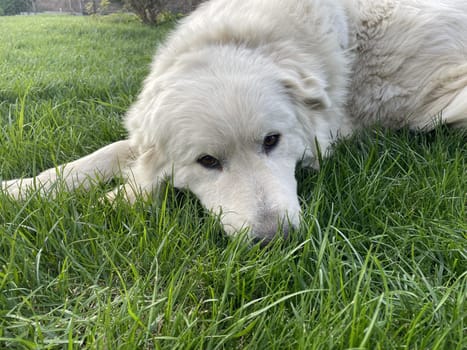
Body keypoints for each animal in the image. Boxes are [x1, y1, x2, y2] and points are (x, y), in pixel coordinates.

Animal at [0, 0, 467, 243]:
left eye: (272, 140)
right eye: (208, 161)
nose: (273, 240)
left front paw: (115, 199)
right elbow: (98, 157)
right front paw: (22, 190)